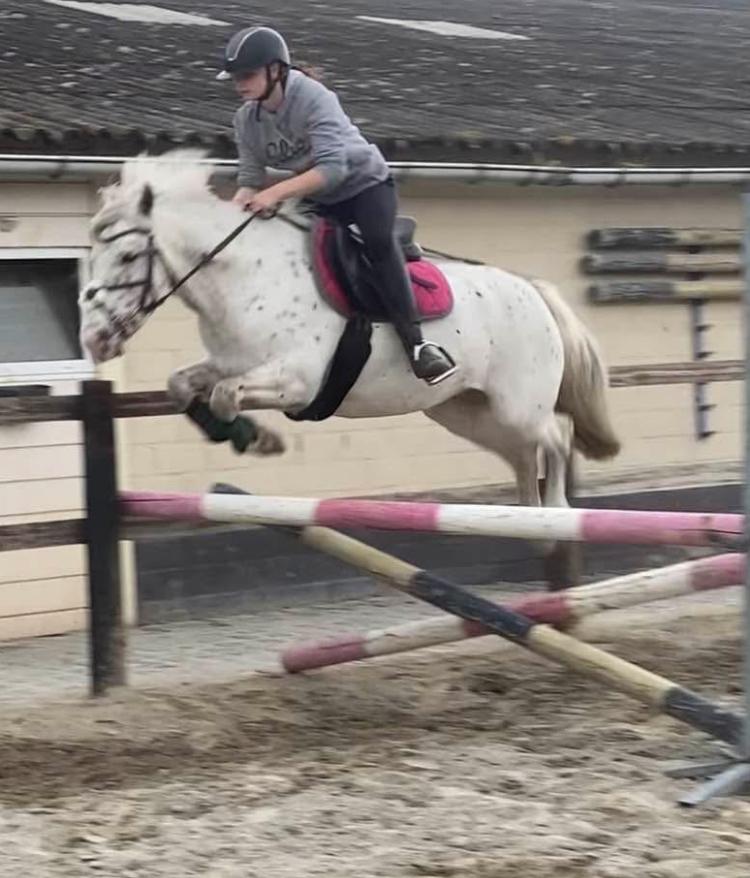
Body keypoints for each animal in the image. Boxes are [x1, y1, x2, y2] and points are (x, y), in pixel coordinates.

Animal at [79, 150, 620, 530]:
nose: (96, 340)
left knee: (556, 437)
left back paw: (556, 511)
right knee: (524, 453)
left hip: (516, 406)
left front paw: (260, 439)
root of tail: (533, 290)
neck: (245, 277)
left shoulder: (296, 381)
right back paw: (527, 516)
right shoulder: (229, 362)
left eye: (127, 256)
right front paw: (250, 438)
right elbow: (184, 386)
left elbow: (226, 396)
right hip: (467, 411)